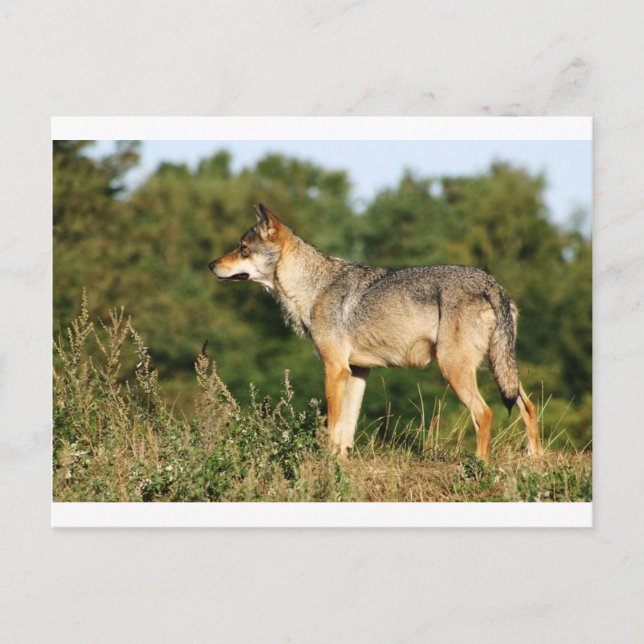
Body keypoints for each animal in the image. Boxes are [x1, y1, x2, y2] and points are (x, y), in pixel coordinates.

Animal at [209, 204, 543, 463]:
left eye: (242, 249)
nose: (210, 264)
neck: (312, 288)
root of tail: (493, 284)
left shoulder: (335, 369)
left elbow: (333, 424)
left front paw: (326, 463)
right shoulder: (357, 372)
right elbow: (347, 428)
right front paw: (341, 463)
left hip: (455, 370)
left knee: (485, 413)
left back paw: (479, 465)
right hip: (498, 368)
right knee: (528, 405)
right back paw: (535, 458)